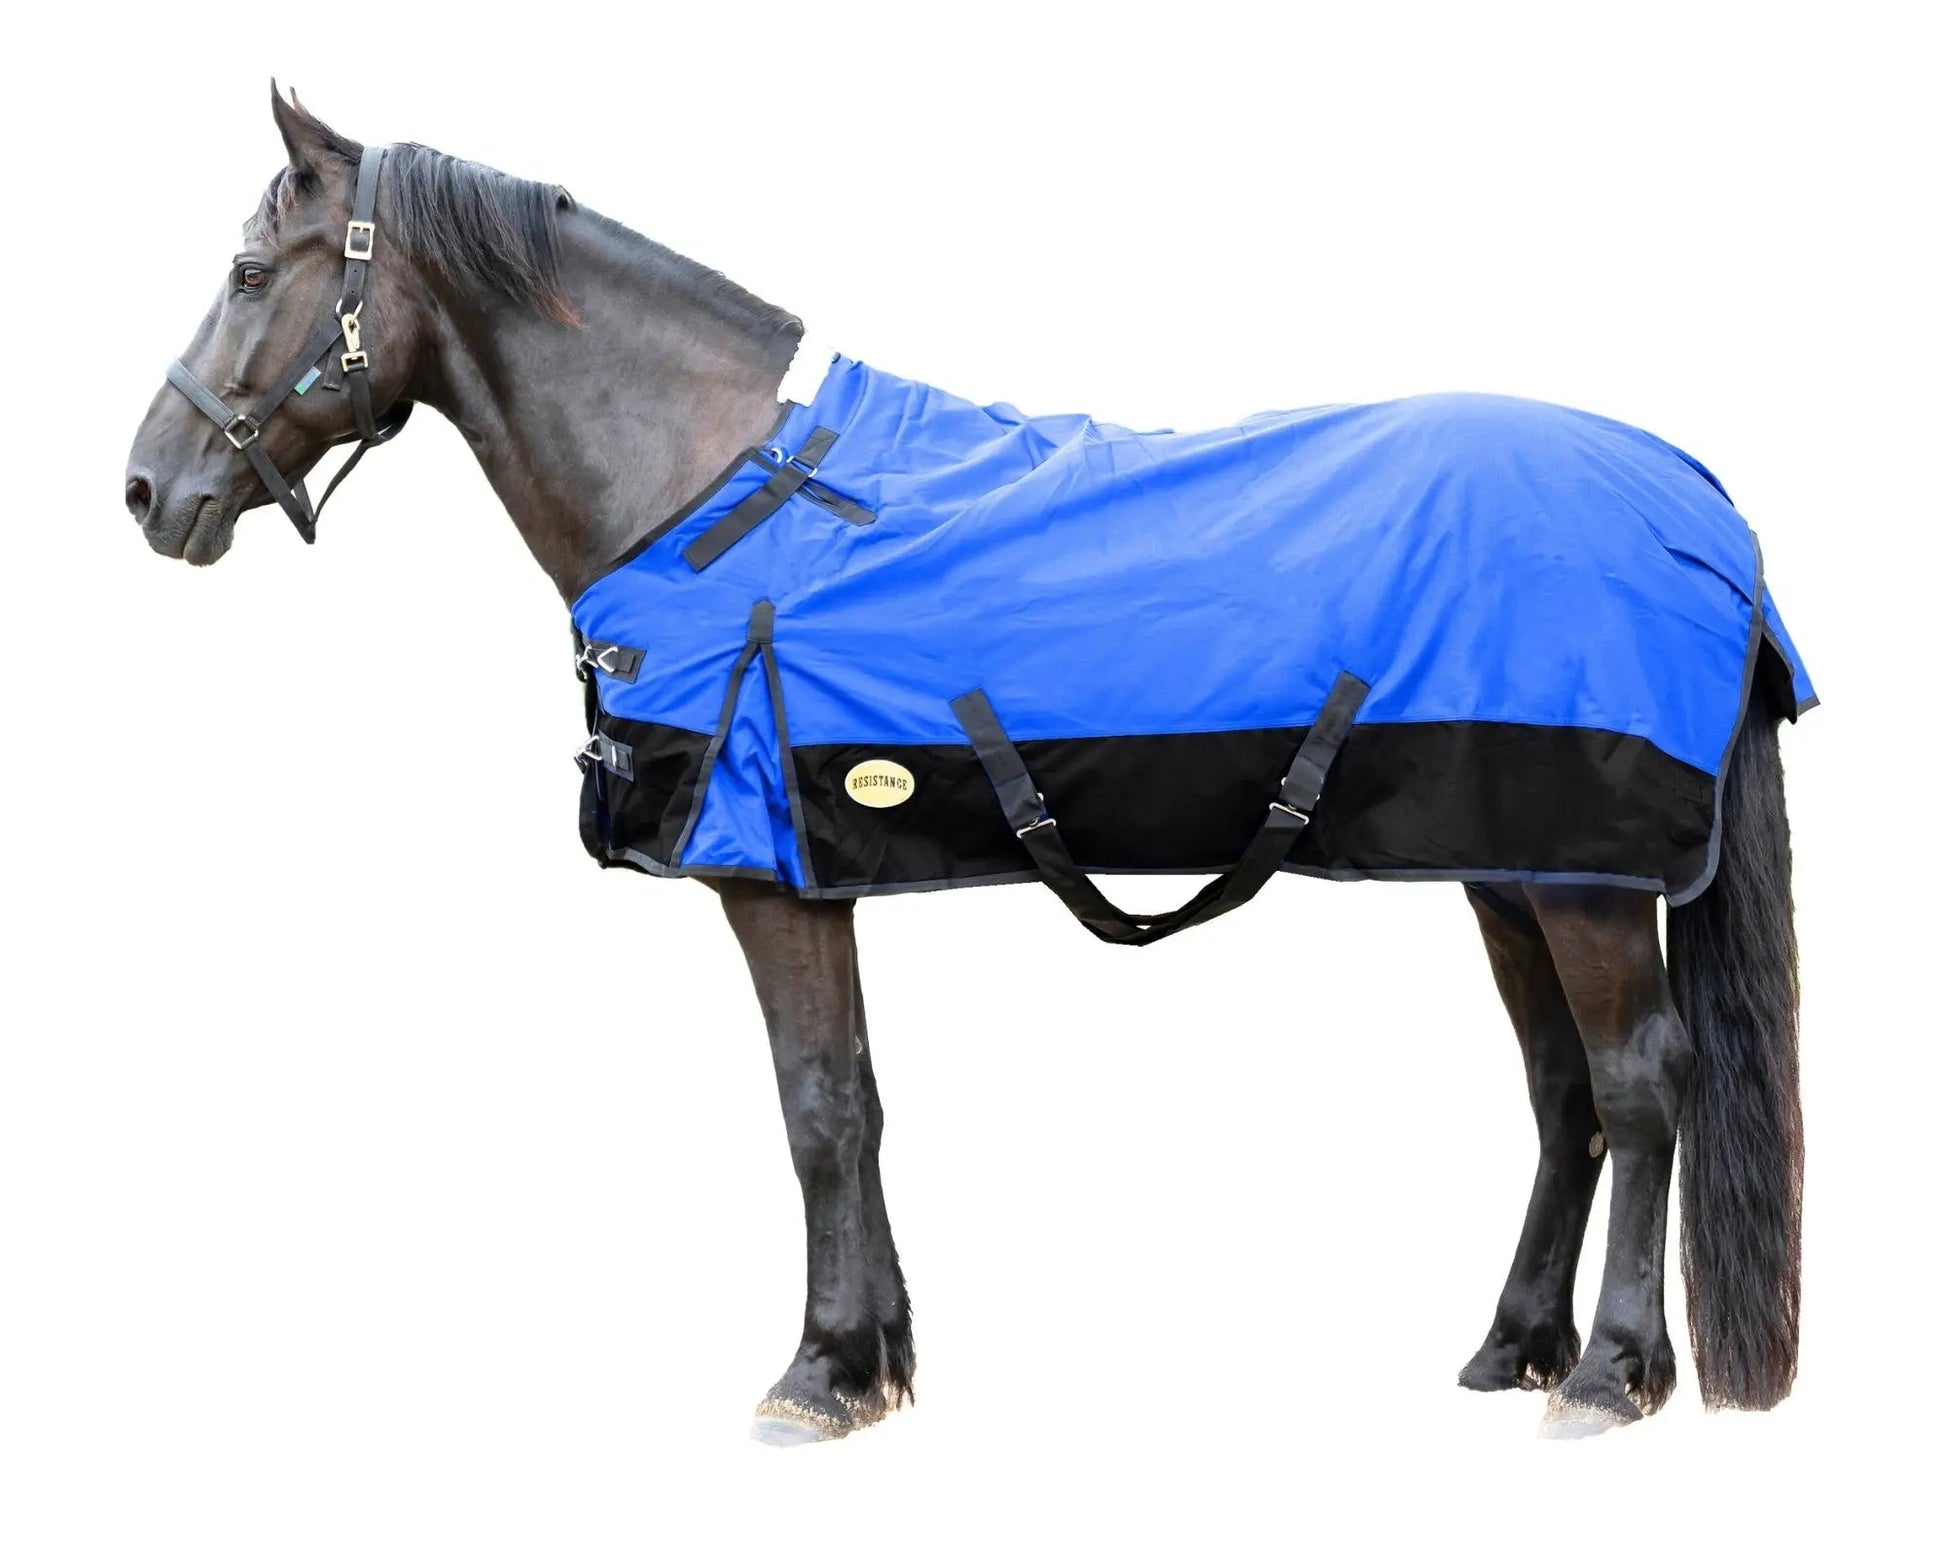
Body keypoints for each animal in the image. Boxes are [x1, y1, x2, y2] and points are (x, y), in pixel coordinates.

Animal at [124, 88, 1807, 1444]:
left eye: (248, 274)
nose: (147, 488)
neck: (708, 486)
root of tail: (1694, 494)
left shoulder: (765, 880)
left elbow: (812, 1108)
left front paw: (814, 1376)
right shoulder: (817, 875)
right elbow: (859, 1101)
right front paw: (875, 1361)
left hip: (1582, 881)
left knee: (1638, 1082)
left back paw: (1609, 1374)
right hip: (1509, 865)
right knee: (1560, 1088)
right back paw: (1512, 1346)